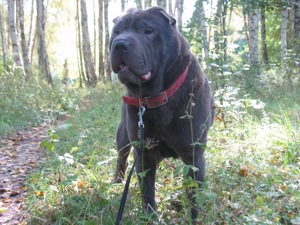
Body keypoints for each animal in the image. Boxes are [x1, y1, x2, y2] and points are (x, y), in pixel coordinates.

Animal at [109, 6, 214, 221]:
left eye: (148, 31)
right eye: (116, 32)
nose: (120, 44)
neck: (157, 96)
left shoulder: (193, 155)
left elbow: (194, 195)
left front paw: (195, 218)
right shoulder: (144, 154)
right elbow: (147, 191)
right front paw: (150, 217)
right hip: (123, 137)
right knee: (121, 159)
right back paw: (116, 184)